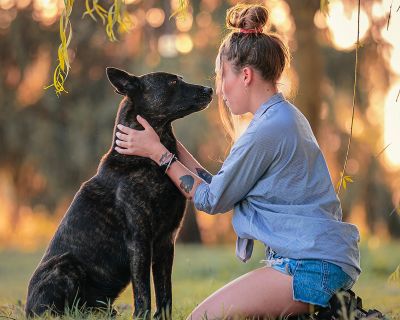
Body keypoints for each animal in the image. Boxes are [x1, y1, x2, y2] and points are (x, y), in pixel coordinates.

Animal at [24, 67, 212, 318]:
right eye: (172, 82)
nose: (210, 90)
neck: (146, 159)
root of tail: (27, 308)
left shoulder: (165, 241)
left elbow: (165, 292)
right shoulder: (139, 240)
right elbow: (143, 292)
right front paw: (141, 316)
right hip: (64, 266)